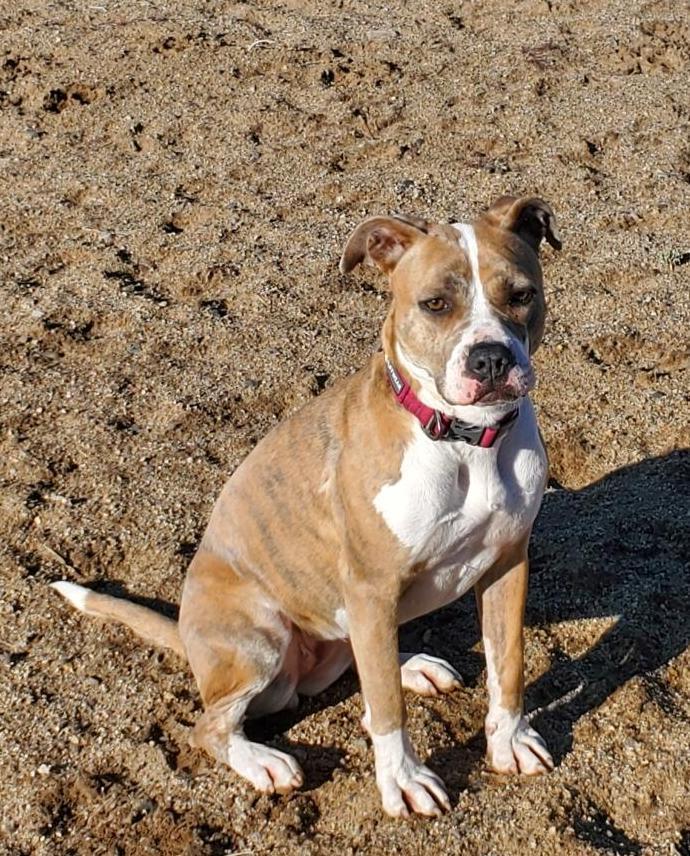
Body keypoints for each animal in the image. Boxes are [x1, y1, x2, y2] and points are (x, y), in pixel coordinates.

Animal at [52, 197, 560, 820]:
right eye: (436, 304)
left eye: (521, 295)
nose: (490, 359)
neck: (466, 442)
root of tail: (189, 637)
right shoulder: (371, 586)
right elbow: (388, 711)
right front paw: (403, 780)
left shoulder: (508, 563)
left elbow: (506, 665)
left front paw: (509, 742)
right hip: (261, 635)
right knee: (213, 725)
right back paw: (262, 759)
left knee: (363, 665)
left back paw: (410, 664)